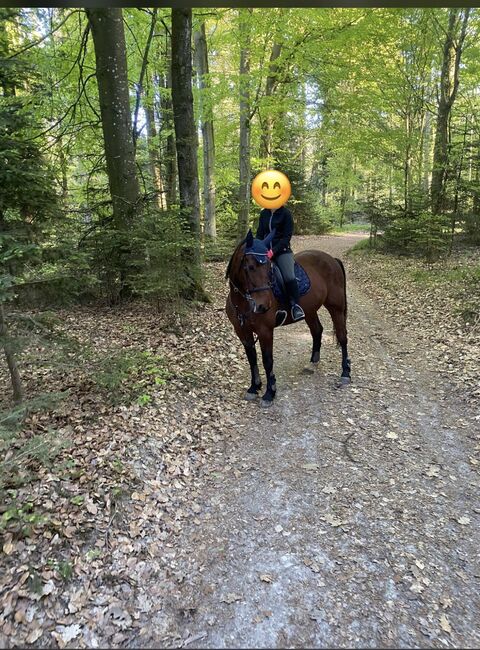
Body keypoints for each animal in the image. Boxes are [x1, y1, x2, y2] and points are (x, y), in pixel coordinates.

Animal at [225, 229, 351, 407]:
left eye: (269, 269)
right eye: (250, 267)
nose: (263, 306)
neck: (243, 302)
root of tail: (332, 259)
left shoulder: (265, 331)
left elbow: (267, 360)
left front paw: (269, 393)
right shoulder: (242, 331)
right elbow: (252, 358)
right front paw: (254, 388)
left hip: (336, 308)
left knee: (342, 336)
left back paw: (345, 373)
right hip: (310, 310)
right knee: (317, 330)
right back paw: (313, 363)